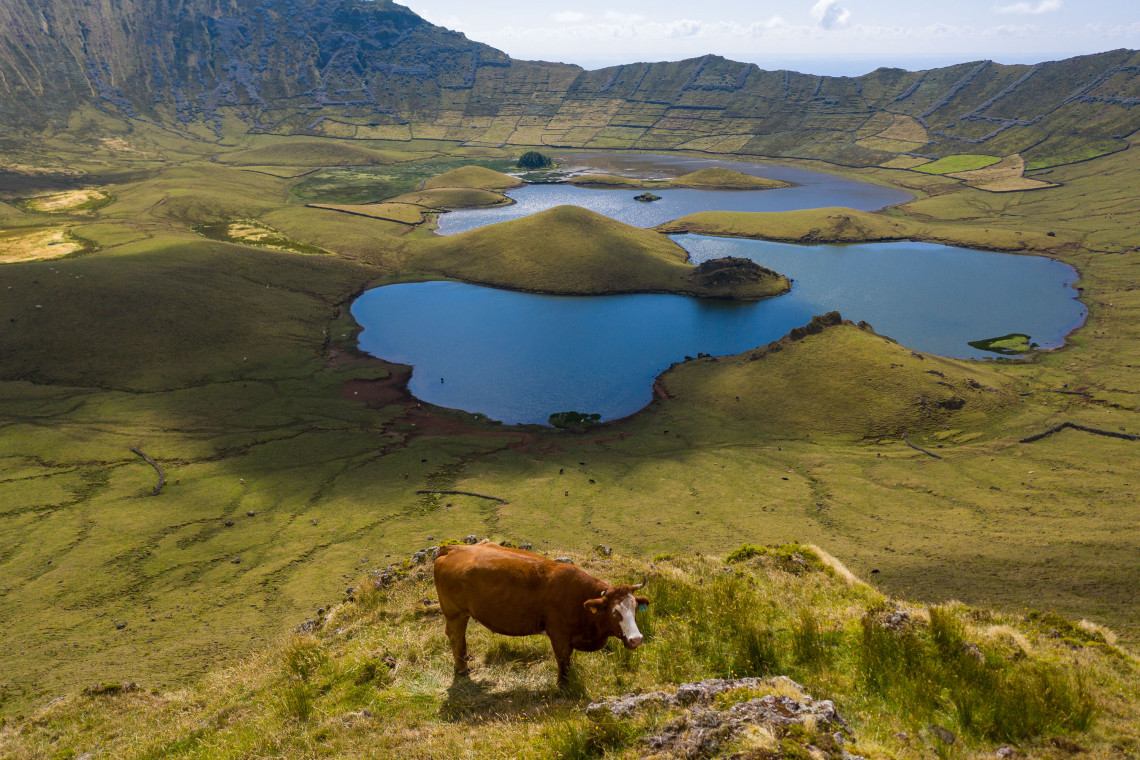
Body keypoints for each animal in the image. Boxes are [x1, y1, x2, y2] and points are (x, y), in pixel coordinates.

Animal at [433, 543, 649, 685]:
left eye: (635, 609)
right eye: (614, 612)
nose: (636, 639)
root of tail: (453, 549)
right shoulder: (559, 635)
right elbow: (563, 660)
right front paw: (563, 685)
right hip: (454, 613)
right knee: (455, 636)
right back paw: (462, 668)